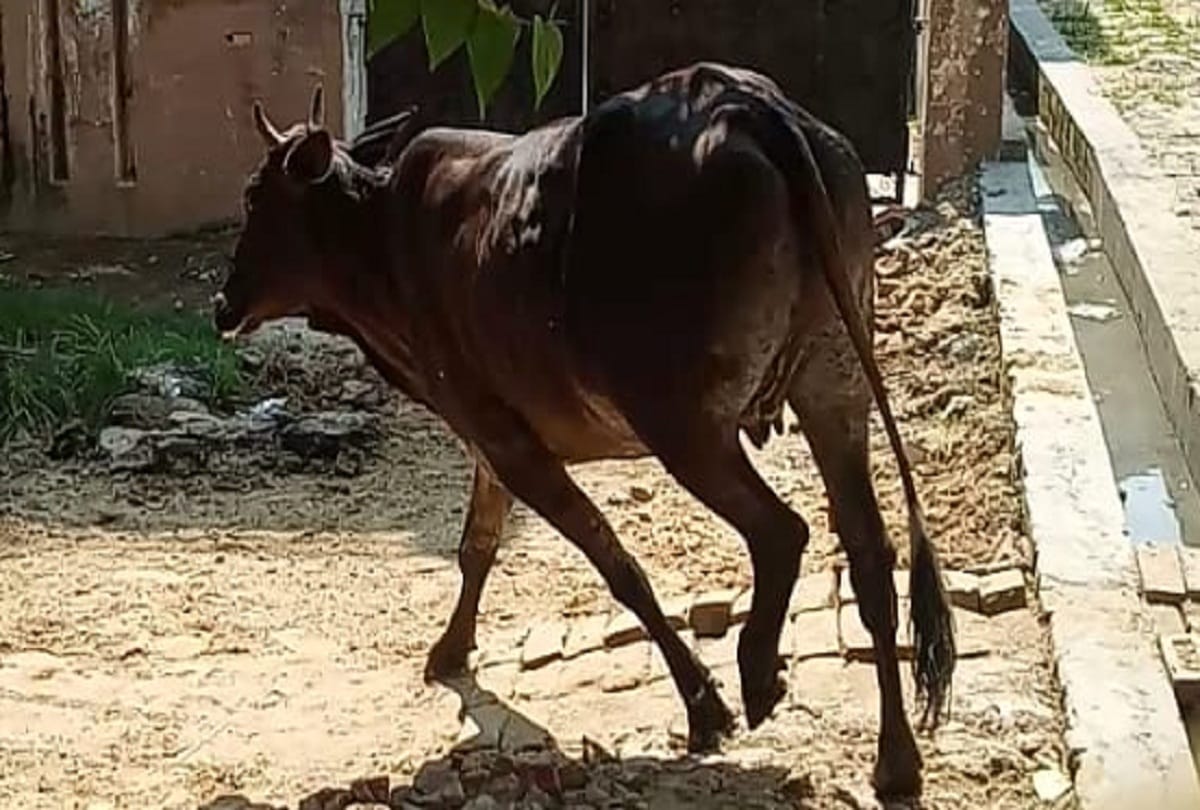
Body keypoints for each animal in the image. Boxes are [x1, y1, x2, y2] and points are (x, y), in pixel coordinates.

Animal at [213, 62, 955, 798]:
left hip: (685, 424)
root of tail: (744, 100)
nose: (223, 304)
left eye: (254, 197)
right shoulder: (490, 433)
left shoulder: (507, 440)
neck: (382, 243)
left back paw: (755, 675)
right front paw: (450, 650)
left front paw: (702, 705)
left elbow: (616, 566)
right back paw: (896, 760)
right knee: (869, 552)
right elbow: (478, 545)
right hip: (835, 383)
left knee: (782, 533)